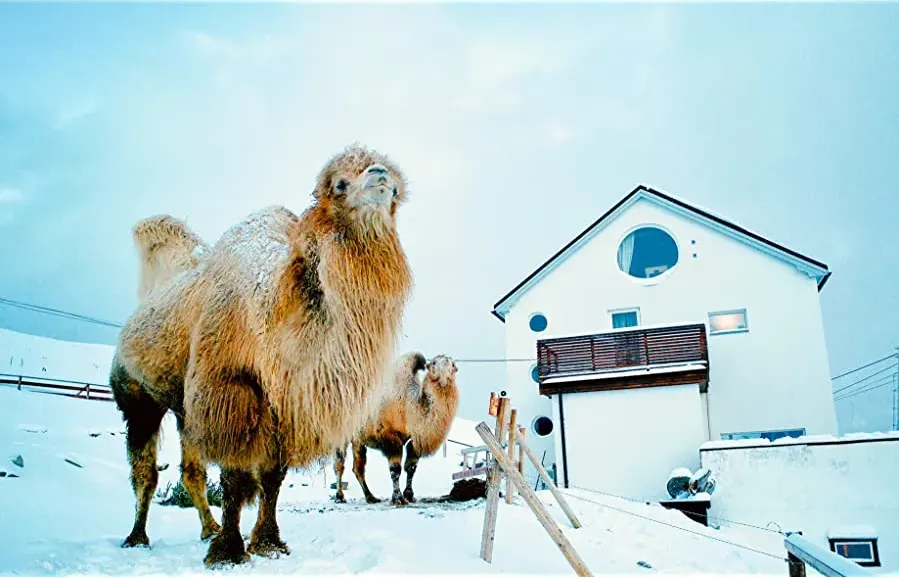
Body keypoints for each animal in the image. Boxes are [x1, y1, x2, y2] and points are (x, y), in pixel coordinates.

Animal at [333, 352, 460, 505]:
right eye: (434, 363)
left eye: (452, 365)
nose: (444, 377)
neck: (408, 407)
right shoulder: (391, 437)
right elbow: (395, 470)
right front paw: (398, 498)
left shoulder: (414, 439)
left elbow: (411, 468)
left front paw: (409, 495)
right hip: (340, 434)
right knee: (339, 464)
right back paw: (340, 497)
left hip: (358, 439)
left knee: (358, 467)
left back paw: (371, 497)